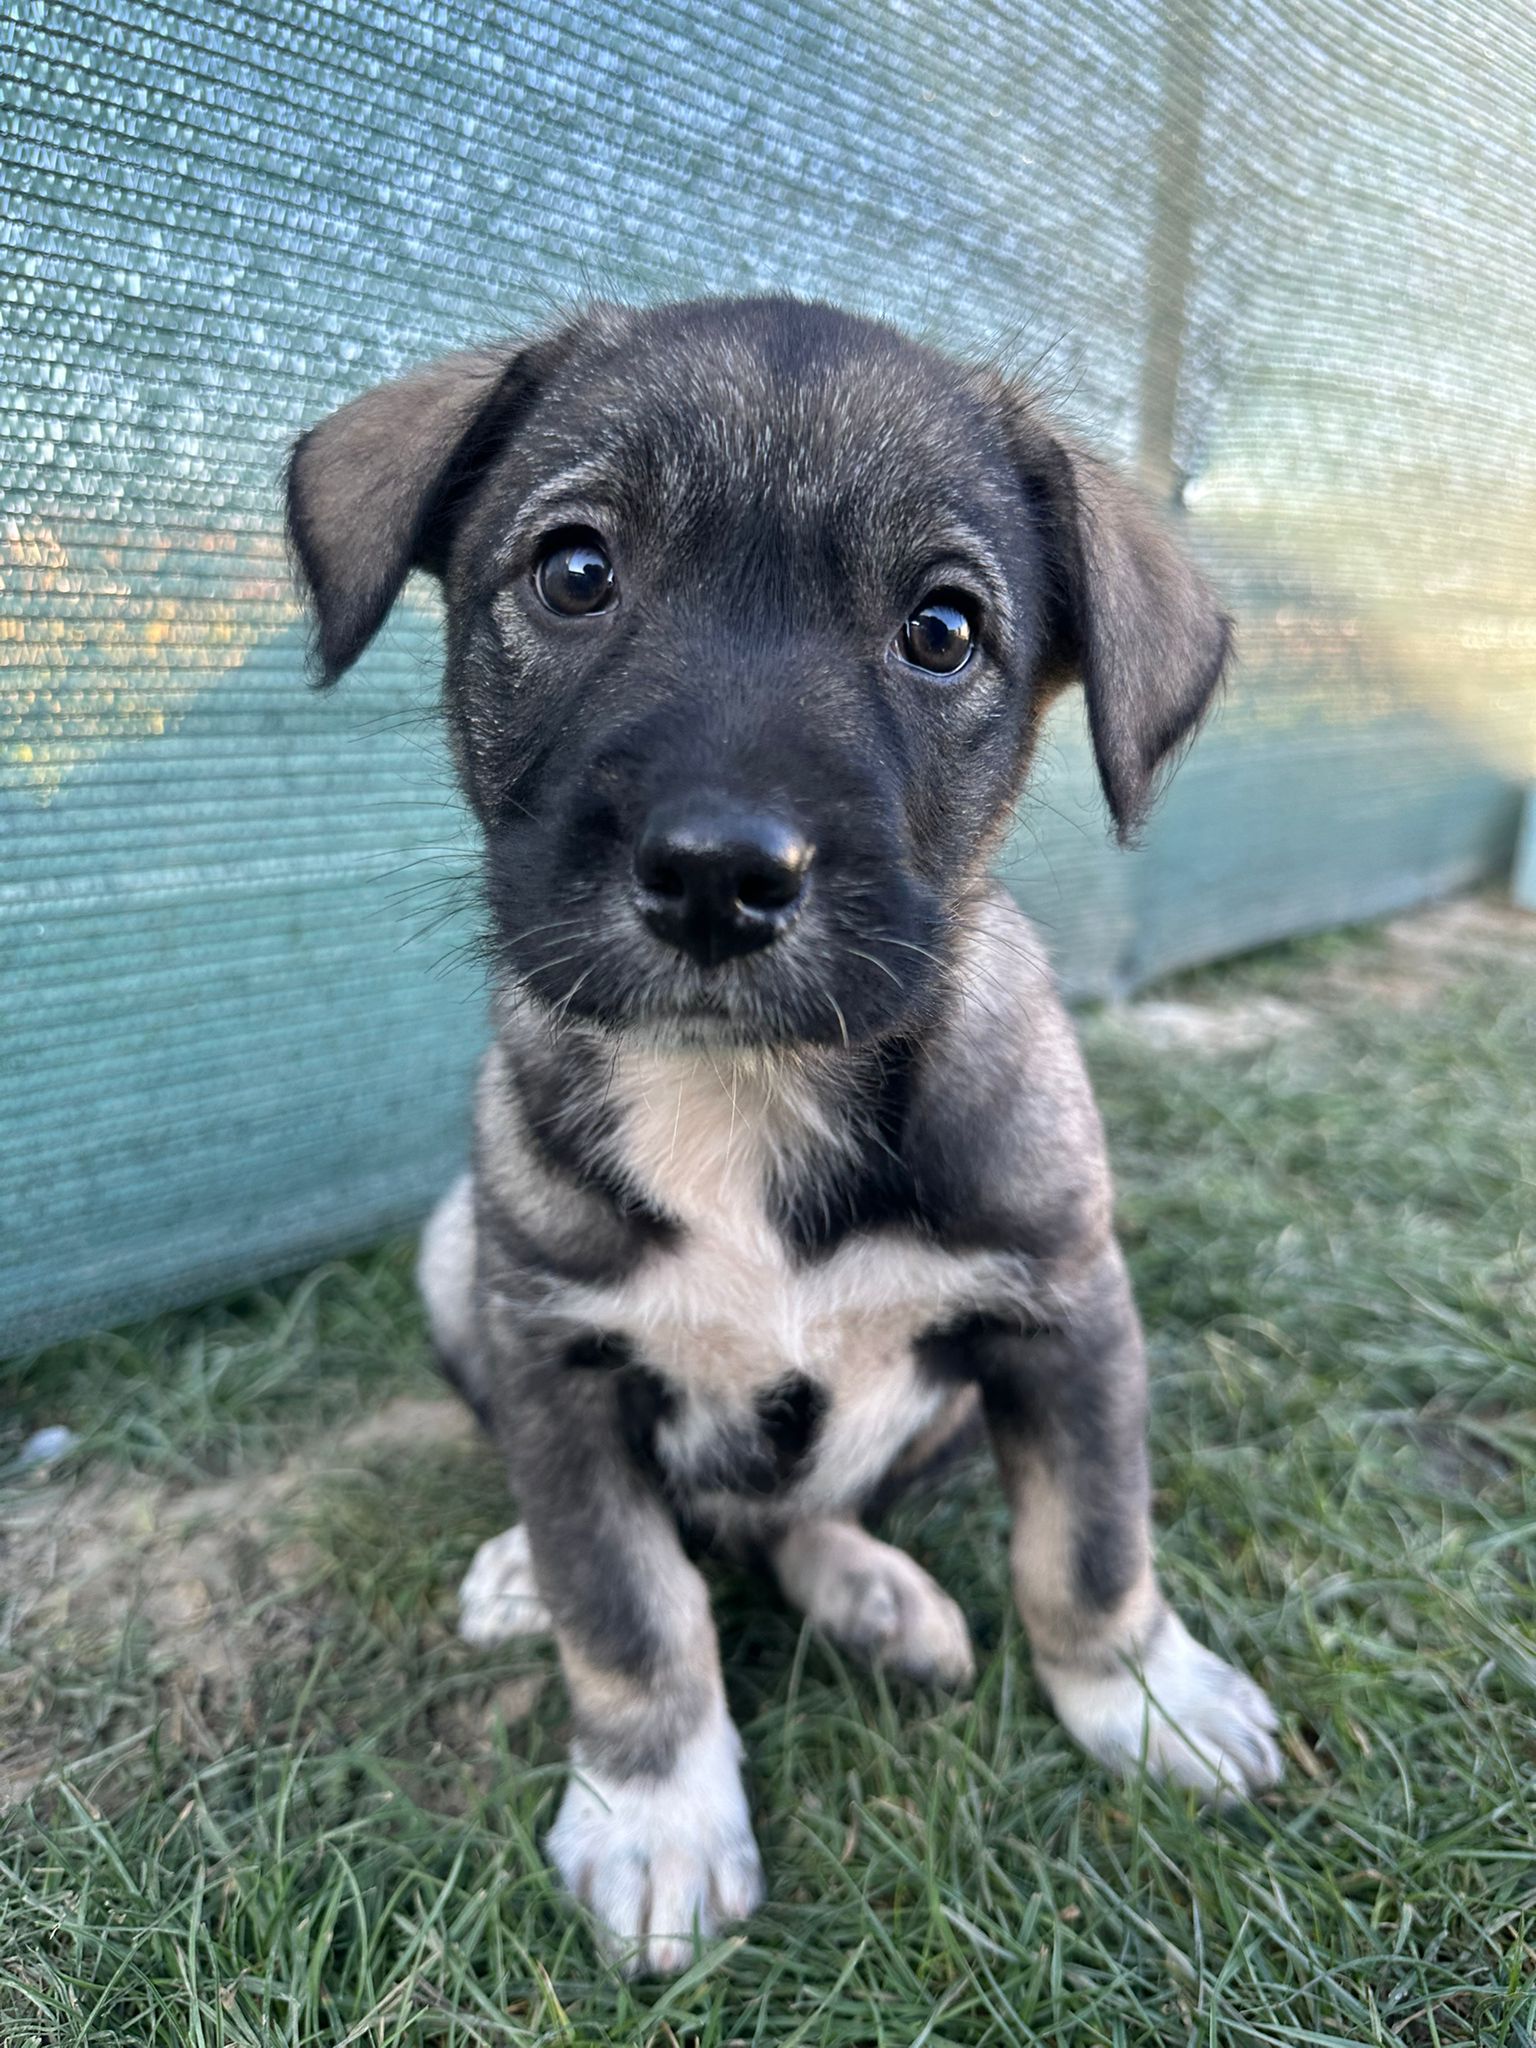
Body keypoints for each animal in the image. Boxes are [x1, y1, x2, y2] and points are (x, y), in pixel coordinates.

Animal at [286, 294, 1281, 1975]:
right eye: (574, 571)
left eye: (943, 629)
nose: (715, 875)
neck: (744, 1093)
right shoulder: (555, 1352)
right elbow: (627, 1606)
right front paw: (656, 1812)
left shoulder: (1069, 1310)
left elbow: (1089, 1546)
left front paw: (1148, 1695)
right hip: (454, 1258)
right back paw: (532, 1569)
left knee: (798, 1515)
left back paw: (877, 1595)